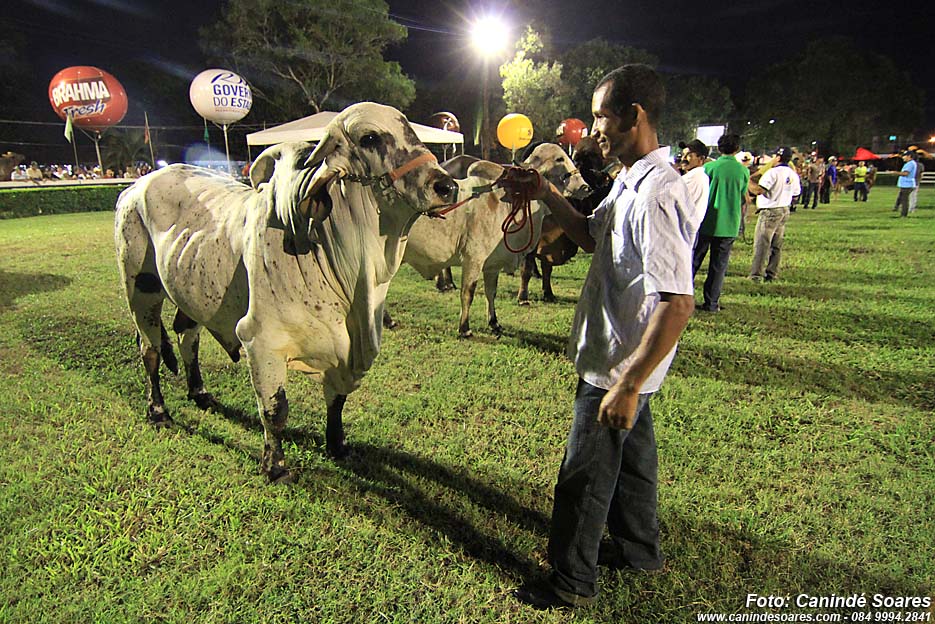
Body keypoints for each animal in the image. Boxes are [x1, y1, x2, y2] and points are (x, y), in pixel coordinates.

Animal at [115, 102, 457, 483]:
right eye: (369, 137)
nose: (446, 186)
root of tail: (136, 186)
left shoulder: (346, 352)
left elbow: (337, 399)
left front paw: (336, 445)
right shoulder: (261, 342)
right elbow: (275, 410)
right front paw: (275, 466)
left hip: (190, 290)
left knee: (188, 337)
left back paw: (200, 393)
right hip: (140, 289)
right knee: (150, 351)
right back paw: (158, 410)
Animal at [389, 142, 589, 337]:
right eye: (559, 159)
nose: (586, 187)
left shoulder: (492, 265)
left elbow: (490, 292)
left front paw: (494, 322)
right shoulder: (473, 259)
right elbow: (468, 293)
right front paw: (464, 328)